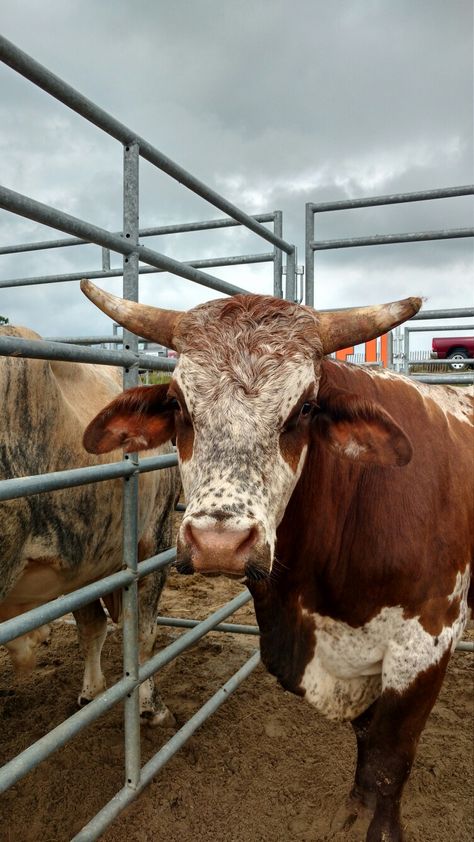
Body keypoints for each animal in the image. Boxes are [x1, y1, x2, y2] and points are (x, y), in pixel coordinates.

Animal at [79, 282, 472, 840]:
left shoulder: (428, 642)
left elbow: (389, 757)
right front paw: (353, 810)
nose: (219, 543)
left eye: (305, 407)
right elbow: (366, 740)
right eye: (177, 403)